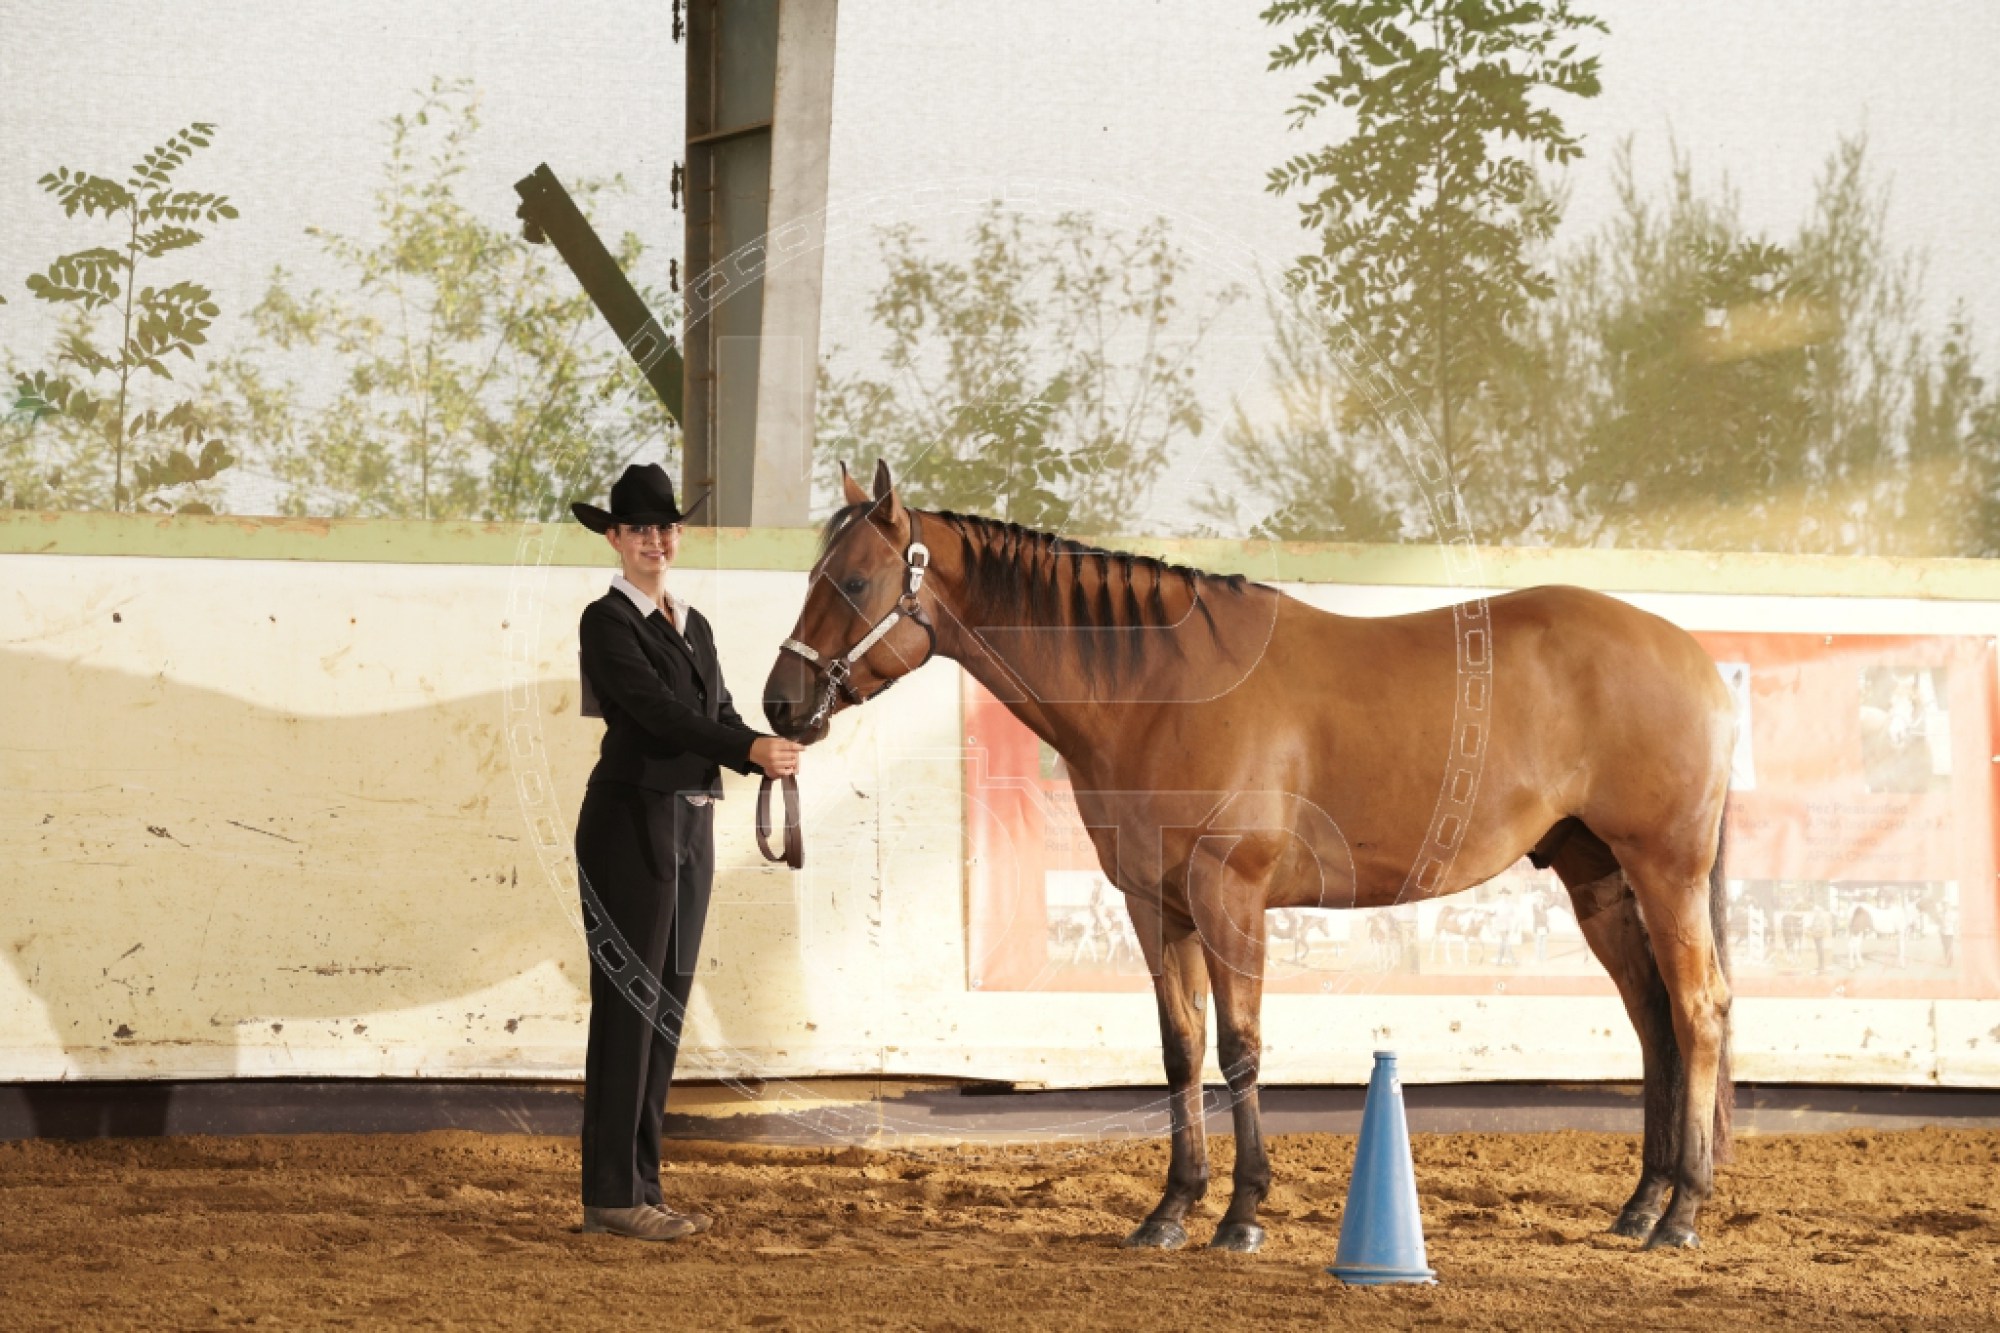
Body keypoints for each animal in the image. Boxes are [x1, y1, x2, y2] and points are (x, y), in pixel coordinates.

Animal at [763, 460, 1735, 1253]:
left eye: (854, 579)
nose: (780, 703)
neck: (1160, 687)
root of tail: (1699, 662)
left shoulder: (1227, 895)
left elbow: (1240, 1047)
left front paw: (1241, 1214)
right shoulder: (1155, 903)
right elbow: (1180, 1049)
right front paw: (1171, 1209)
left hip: (1665, 870)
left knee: (1699, 1012)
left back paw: (1682, 1212)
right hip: (1596, 874)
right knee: (1653, 1017)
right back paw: (1642, 1203)